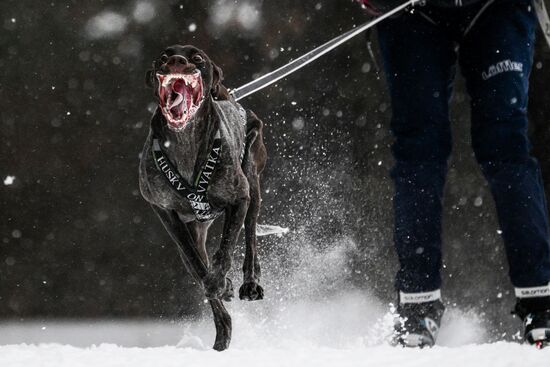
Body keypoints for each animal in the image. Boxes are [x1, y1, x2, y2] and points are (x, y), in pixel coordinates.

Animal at [139, 44, 266, 352]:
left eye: (197, 58)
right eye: (163, 57)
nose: (176, 61)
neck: (184, 142)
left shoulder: (239, 198)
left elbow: (226, 248)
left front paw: (220, 279)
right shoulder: (166, 213)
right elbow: (196, 262)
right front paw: (219, 286)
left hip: (253, 177)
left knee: (251, 234)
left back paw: (249, 283)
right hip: (195, 227)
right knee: (199, 265)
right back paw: (223, 330)